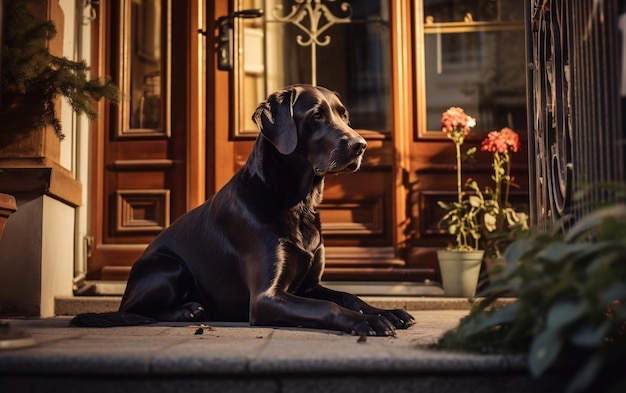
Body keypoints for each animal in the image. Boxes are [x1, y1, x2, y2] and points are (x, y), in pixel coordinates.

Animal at [70, 84, 412, 336]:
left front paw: (388, 311)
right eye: (316, 115)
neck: (297, 203)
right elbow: (328, 307)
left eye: (344, 115)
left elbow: (349, 296)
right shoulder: (265, 298)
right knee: (133, 311)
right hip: (169, 268)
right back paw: (186, 309)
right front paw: (367, 321)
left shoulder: (310, 285)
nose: (361, 145)